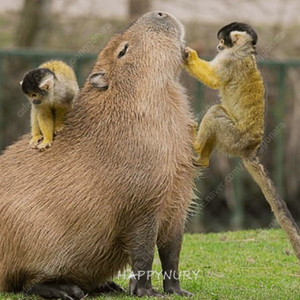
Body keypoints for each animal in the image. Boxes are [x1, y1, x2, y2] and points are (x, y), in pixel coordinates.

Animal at [184, 22, 300, 262]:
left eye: (222, 41)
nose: (218, 46)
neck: (245, 51)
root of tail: (251, 149)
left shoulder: (231, 60)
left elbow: (214, 80)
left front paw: (189, 55)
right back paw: (203, 158)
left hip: (234, 138)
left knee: (215, 114)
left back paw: (196, 147)